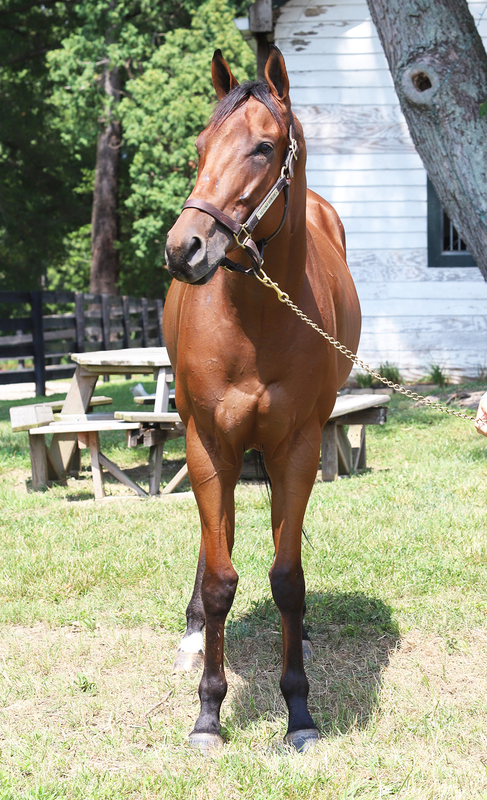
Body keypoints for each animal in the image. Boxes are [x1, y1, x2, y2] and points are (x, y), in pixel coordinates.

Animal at [162, 47, 360, 752]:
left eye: (264, 147)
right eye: (200, 146)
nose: (184, 248)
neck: (254, 321)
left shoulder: (297, 447)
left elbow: (287, 578)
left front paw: (298, 710)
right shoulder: (208, 444)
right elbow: (221, 576)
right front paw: (208, 714)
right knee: (210, 544)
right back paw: (195, 635)